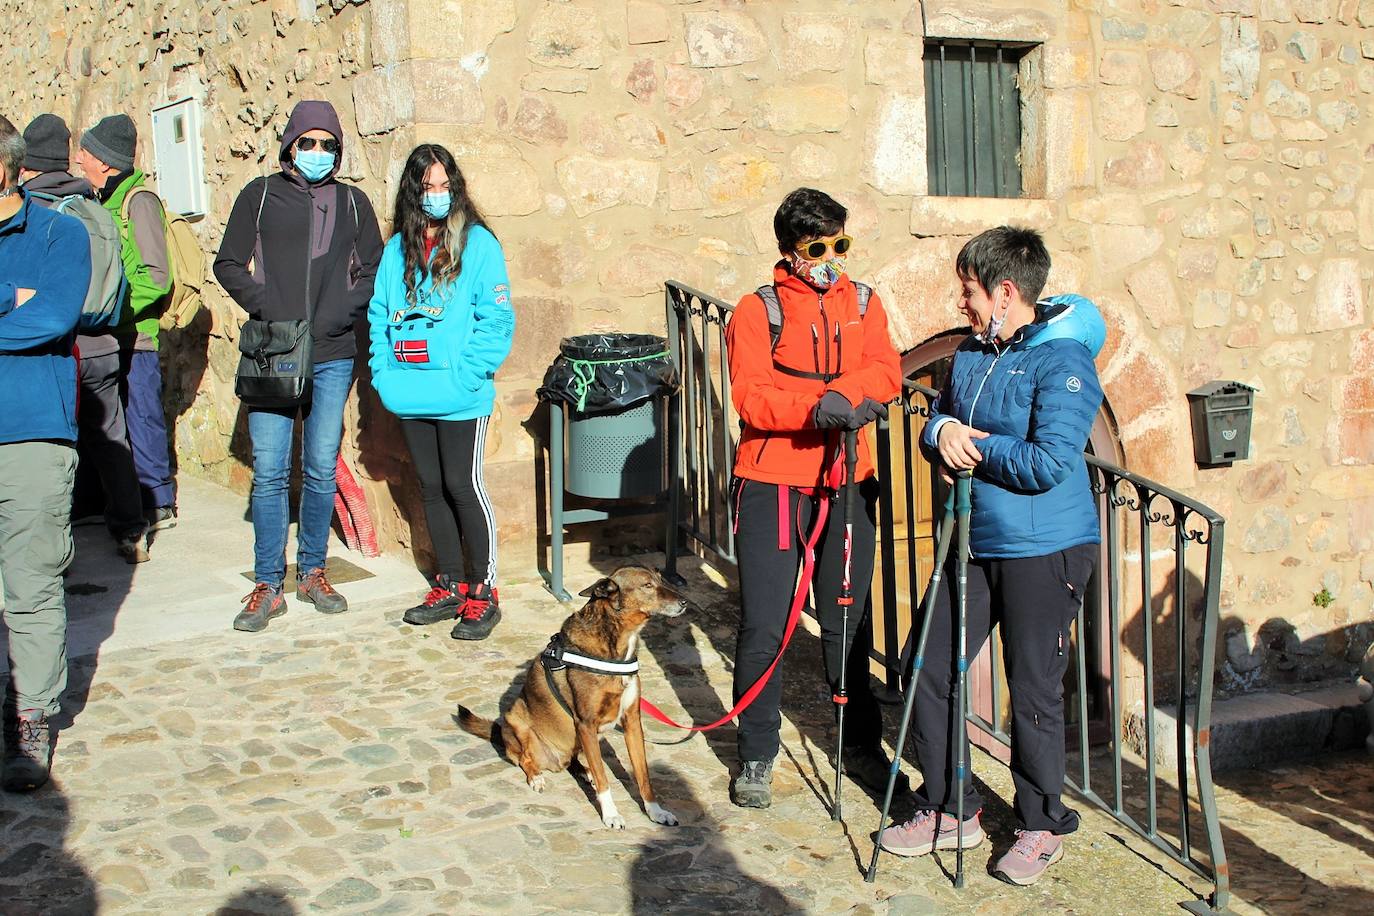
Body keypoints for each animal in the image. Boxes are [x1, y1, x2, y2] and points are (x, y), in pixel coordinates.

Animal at [458, 565, 687, 829]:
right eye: (647, 585)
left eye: (660, 579)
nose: (684, 602)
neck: (617, 642)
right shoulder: (586, 723)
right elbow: (604, 779)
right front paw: (611, 814)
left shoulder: (631, 721)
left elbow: (643, 775)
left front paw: (655, 811)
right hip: (516, 718)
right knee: (525, 759)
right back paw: (537, 777)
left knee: (575, 761)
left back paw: (583, 771)